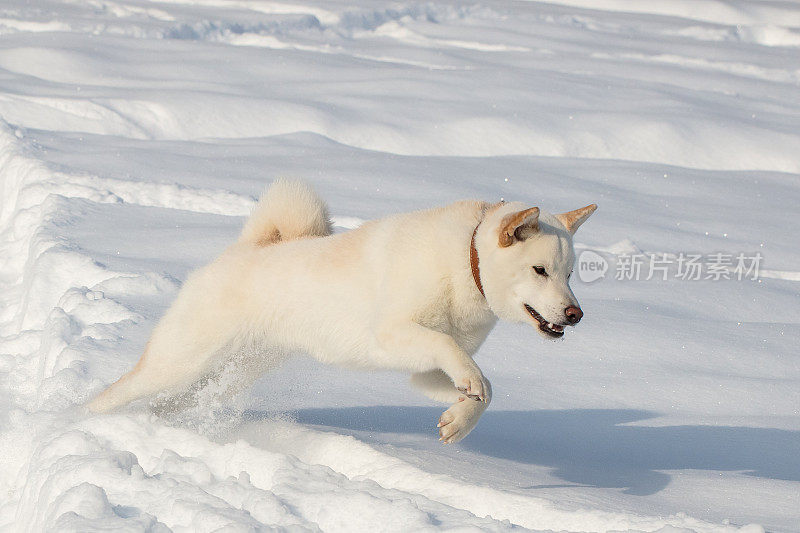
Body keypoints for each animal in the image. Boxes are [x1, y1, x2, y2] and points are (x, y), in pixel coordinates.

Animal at [90, 181, 596, 442]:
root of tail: (243, 249)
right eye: (539, 270)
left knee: (168, 404)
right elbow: (456, 355)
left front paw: (458, 421)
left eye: (570, 273)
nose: (574, 314)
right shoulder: (393, 334)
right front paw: (465, 401)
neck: (464, 263)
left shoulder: (425, 371)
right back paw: (80, 421)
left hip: (226, 372)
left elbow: (484, 387)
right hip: (178, 361)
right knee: (109, 394)